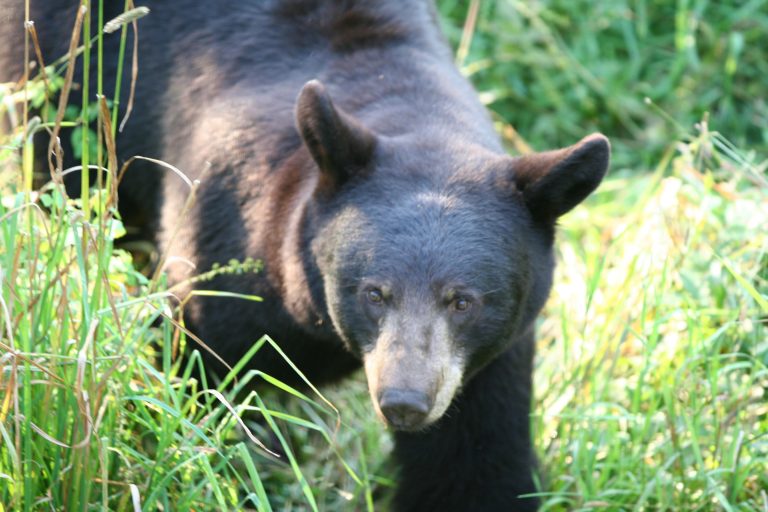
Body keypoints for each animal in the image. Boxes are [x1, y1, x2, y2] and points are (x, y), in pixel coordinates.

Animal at [3, 2, 608, 510]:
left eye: (463, 301)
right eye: (373, 293)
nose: (404, 401)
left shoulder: (490, 356)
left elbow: (474, 460)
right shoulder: (227, 255)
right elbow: (202, 396)